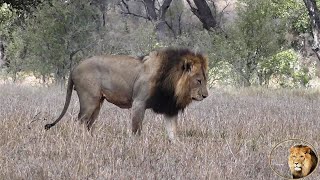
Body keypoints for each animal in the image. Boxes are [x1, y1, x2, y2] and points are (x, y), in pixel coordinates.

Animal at [45, 47, 210, 142]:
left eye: (205, 80)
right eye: (199, 80)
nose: (205, 96)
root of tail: (74, 67)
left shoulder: (169, 109)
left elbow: (173, 132)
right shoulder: (139, 102)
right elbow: (136, 129)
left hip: (98, 103)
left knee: (88, 123)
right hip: (89, 100)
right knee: (80, 120)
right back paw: (81, 140)